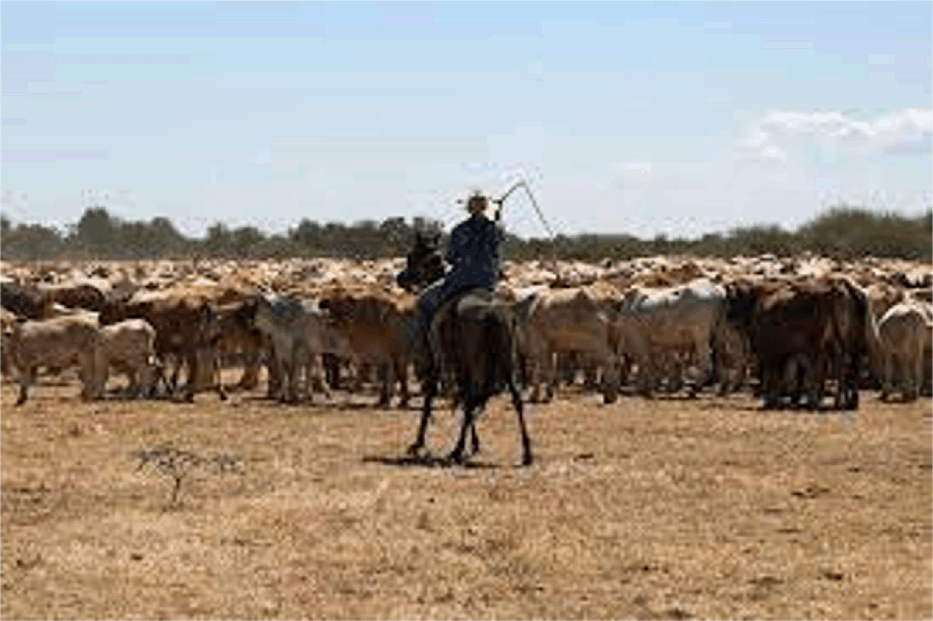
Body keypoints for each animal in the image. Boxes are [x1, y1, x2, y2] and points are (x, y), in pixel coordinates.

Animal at [396, 231, 536, 464]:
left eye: (412, 256)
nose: (400, 278)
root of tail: (492, 311)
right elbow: (466, 399)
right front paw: (475, 443)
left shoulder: (438, 363)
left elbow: (430, 398)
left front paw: (418, 443)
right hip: (506, 361)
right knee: (514, 399)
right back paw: (526, 451)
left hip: (473, 362)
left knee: (471, 398)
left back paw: (457, 449)